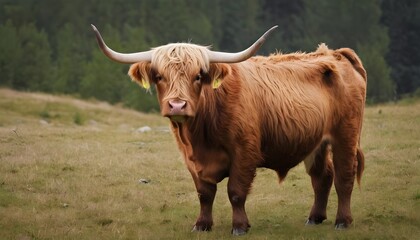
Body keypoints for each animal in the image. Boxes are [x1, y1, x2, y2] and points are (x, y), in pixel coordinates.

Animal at [91, 24, 364, 236]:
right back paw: (314, 218)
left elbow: (236, 191)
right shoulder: (190, 159)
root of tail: (334, 54)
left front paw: (240, 226)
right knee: (322, 176)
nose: (177, 105)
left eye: (198, 76)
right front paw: (202, 225)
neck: (200, 136)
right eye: (159, 76)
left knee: (344, 176)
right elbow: (204, 193)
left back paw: (343, 221)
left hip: (345, 135)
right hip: (316, 143)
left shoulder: (244, 152)